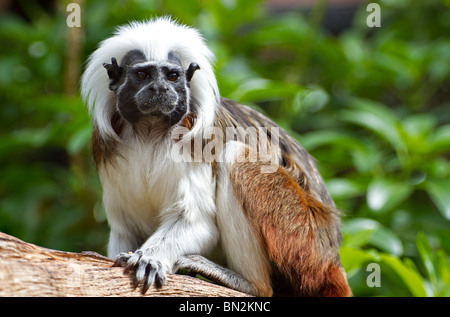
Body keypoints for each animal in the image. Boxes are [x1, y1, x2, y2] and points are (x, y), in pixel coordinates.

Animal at [82, 17, 354, 296]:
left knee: (235, 156)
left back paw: (248, 283)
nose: (160, 88)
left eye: (172, 76)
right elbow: (125, 230)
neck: (150, 131)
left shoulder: (199, 144)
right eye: (143, 75)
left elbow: (198, 225)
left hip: (305, 240)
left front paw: (150, 257)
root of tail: (332, 254)